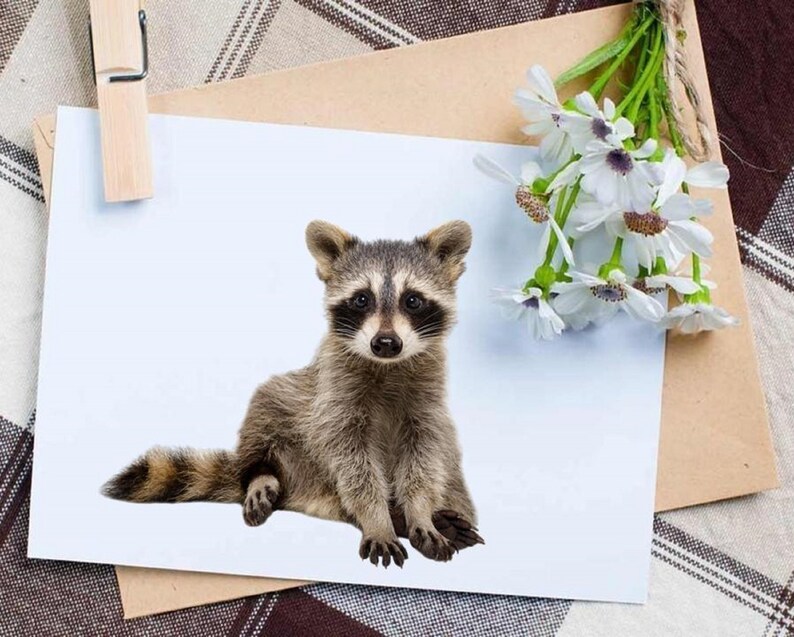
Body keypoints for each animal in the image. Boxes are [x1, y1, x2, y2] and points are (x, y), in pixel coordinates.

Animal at [103, 219, 483, 567]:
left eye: (413, 300)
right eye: (362, 299)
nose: (386, 342)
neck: (387, 366)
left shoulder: (427, 404)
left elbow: (426, 458)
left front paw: (419, 512)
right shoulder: (333, 396)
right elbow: (352, 464)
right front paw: (378, 518)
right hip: (297, 431)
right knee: (268, 403)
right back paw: (263, 476)